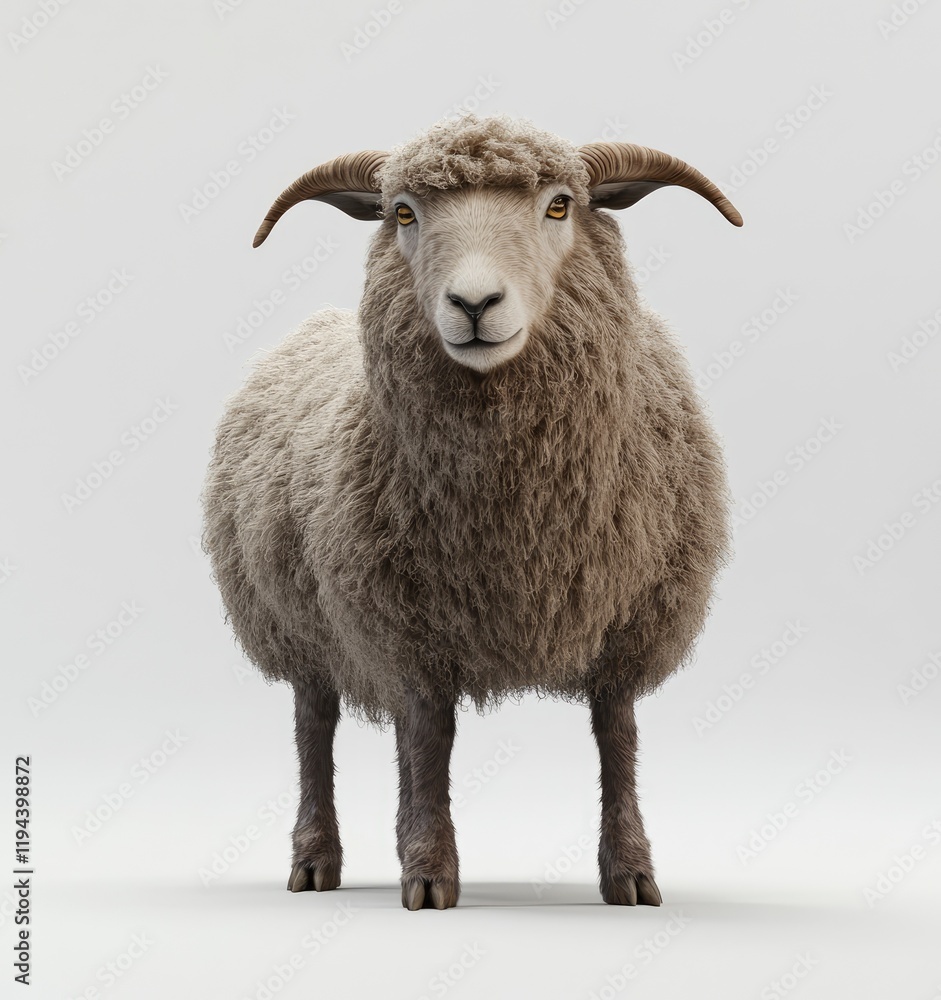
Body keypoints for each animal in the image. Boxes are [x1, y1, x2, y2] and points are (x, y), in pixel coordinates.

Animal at [202, 115, 741, 910]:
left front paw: (631, 871)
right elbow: (428, 743)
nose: (475, 304)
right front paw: (429, 873)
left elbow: (616, 738)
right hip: (296, 624)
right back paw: (315, 861)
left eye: (559, 205)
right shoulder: (404, 624)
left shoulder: (629, 619)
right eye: (402, 213)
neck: (514, 510)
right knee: (314, 727)